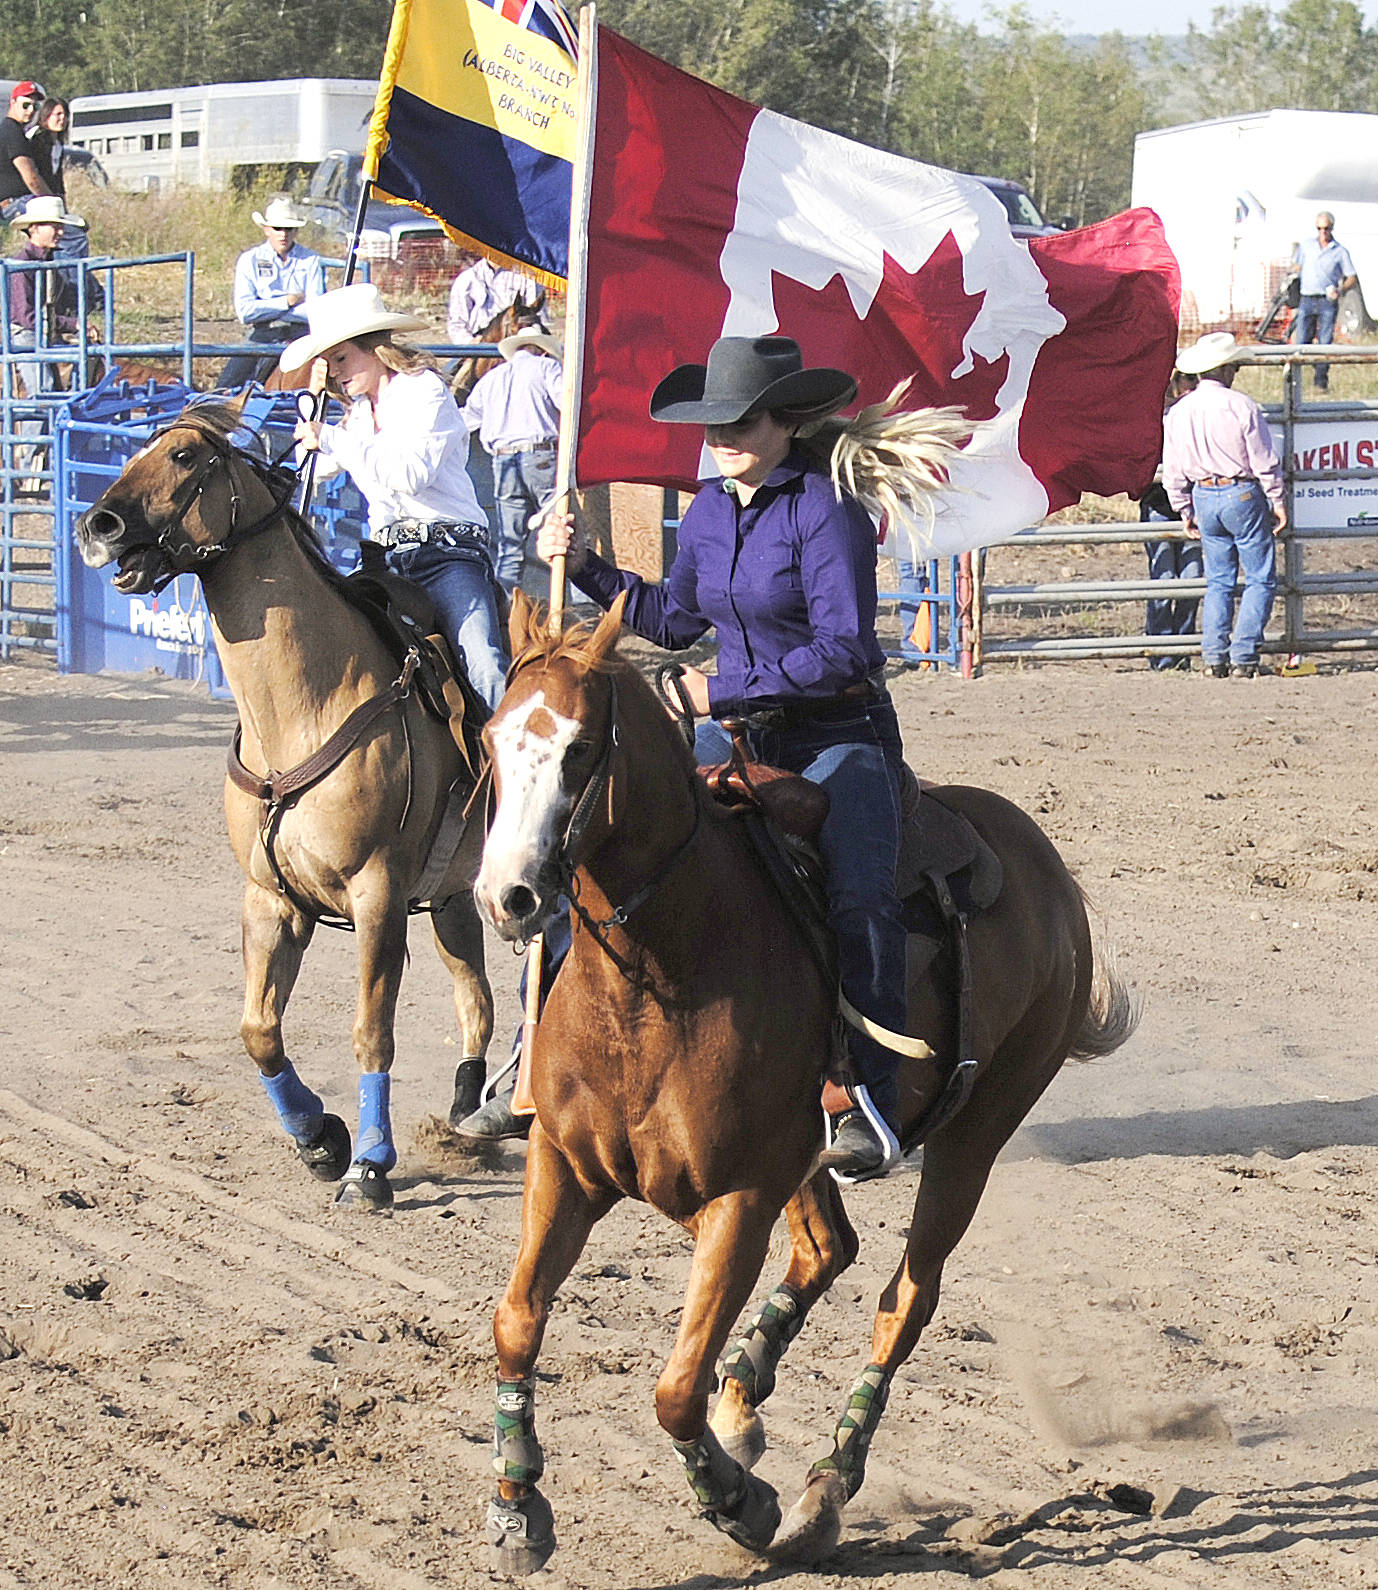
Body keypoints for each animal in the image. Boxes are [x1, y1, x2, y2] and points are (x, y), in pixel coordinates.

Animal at [76, 403, 495, 1208]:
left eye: (183, 456)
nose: (97, 524)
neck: (305, 704)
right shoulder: (270, 897)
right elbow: (258, 1030)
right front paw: (319, 1139)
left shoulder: (377, 893)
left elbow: (372, 1028)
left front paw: (371, 1163)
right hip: (457, 893)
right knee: (477, 999)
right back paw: (470, 1111)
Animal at [467, 597, 1138, 1577]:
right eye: (490, 737)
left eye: (582, 748)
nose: (506, 897)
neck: (657, 978)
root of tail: (1045, 870)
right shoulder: (565, 1164)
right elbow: (517, 1319)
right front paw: (518, 1508)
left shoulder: (741, 1192)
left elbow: (675, 1386)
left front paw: (740, 1503)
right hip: (804, 1151)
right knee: (828, 1248)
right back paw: (745, 1399)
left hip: (974, 1135)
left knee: (905, 1301)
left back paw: (824, 1489)